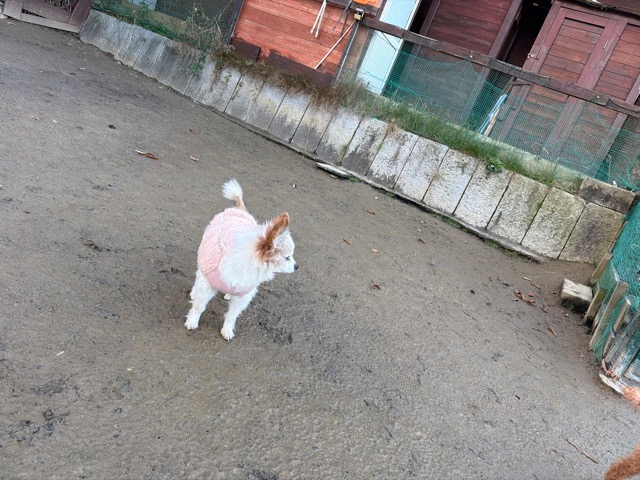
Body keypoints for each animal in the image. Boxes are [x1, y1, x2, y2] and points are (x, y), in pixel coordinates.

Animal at [184, 179, 298, 340]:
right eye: (287, 257)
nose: (297, 266)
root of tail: (239, 209)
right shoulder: (207, 285)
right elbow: (199, 306)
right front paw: (193, 321)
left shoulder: (243, 297)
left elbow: (232, 316)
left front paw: (227, 330)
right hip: (204, 258)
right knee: (198, 276)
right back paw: (194, 292)